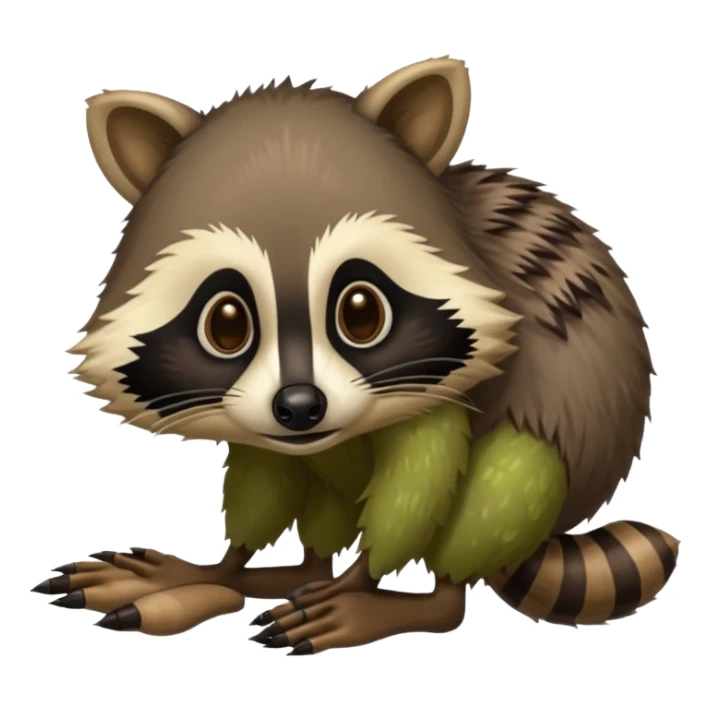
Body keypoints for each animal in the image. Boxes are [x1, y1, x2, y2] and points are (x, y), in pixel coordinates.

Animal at [35, 58, 678, 654]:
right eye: (227, 324)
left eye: (361, 312)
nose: (299, 406)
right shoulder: (268, 427)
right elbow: (262, 477)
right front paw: (221, 565)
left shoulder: (447, 387)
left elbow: (419, 485)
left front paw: (359, 585)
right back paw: (262, 577)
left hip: (556, 444)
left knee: (509, 479)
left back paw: (378, 598)